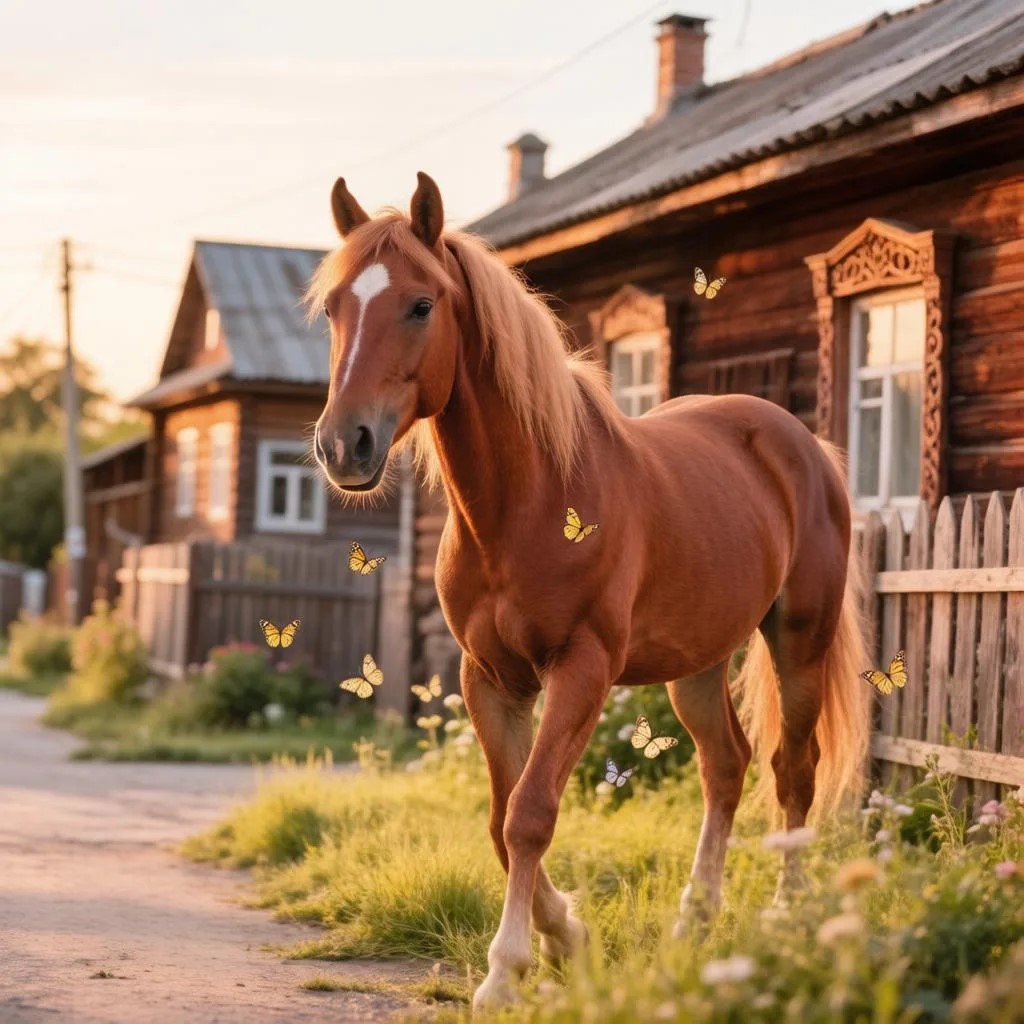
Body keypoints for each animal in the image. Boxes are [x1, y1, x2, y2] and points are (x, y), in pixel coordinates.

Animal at [308, 172, 871, 1010]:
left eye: (420, 304)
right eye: (335, 308)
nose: (345, 445)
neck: (527, 502)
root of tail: (805, 445)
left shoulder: (582, 669)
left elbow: (530, 815)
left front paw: (507, 970)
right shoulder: (489, 679)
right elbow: (500, 816)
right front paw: (564, 937)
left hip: (800, 641)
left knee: (791, 769)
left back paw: (786, 916)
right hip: (696, 665)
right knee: (726, 765)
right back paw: (694, 921)